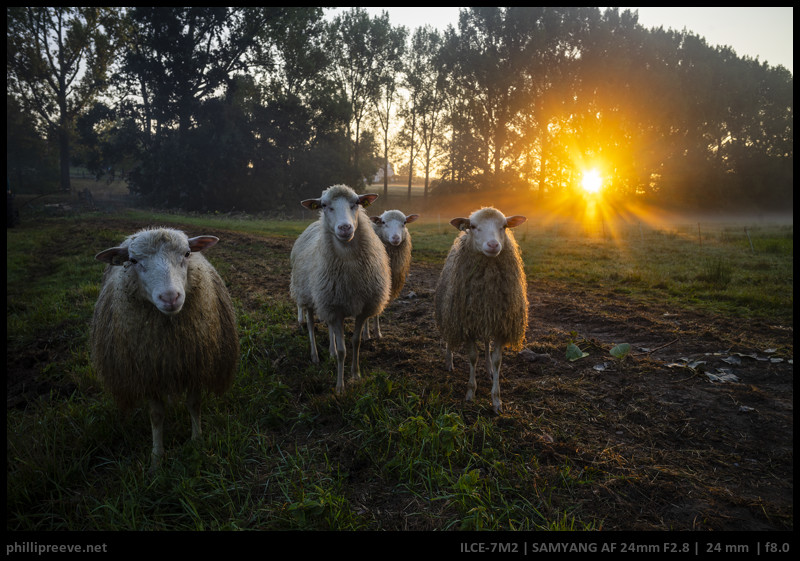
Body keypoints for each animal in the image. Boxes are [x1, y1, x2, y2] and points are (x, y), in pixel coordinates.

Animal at [89, 225, 238, 470]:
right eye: (132, 260)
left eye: (187, 253)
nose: (170, 297)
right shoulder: (148, 373)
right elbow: (157, 415)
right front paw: (157, 458)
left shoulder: (195, 365)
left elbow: (194, 404)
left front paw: (197, 441)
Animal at [290, 185, 392, 394]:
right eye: (324, 205)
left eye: (356, 203)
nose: (345, 228)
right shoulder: (335, 309)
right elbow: (343, 350)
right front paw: (340, 386)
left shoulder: (360, 309)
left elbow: (355, 342)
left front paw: (355, 374)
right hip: (308, 296)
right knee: (310, 324)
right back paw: (315, 356)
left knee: (328, 328)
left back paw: (330, 350)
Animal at [434, 208, 528, 414]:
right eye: (474, 226)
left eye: (504, 226)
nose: (493, 245)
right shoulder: (466, 324)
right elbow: (472, 357)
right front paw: (470, 393)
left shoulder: (500, 325)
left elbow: (497, 359)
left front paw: (497, 400)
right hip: (450, 313)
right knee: (450, 339)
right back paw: (449, 362)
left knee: (486, 343)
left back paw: (488, 369)